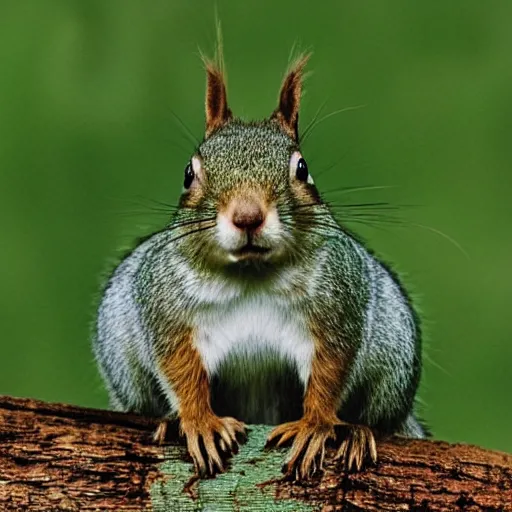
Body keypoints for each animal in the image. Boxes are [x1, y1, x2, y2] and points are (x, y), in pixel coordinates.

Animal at [93, 51, 428, 480]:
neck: (251, 275)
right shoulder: (165, 306)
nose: (247, 216)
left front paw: (314, 424)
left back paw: (355, 432)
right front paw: (199, 422)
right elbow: (180, 369)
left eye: (302, 168)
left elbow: (331, 371)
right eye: (188, 173)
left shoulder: (340, 301)